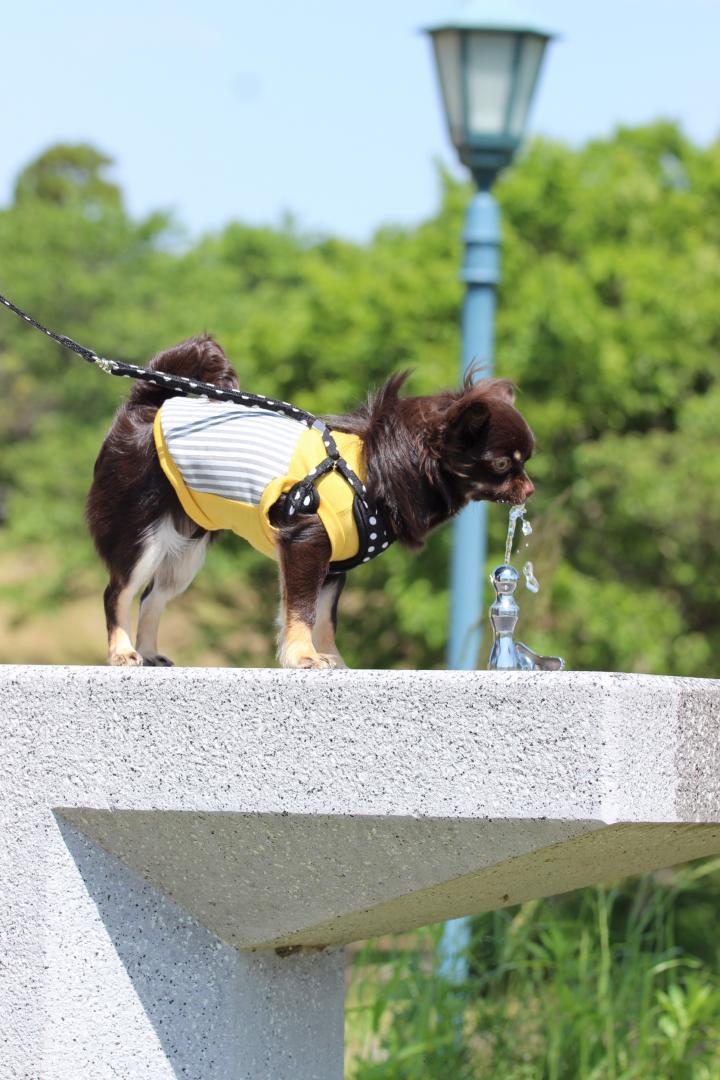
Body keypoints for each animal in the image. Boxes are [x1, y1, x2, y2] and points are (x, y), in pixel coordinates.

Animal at [85, 334, 535, 665]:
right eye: (501, 464)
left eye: (525, 461)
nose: (530, 489)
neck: (375, 470)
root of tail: (147, 405)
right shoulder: (306, 544)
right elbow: (301, 611)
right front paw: (303, 657)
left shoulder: (332, 564)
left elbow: (324, 619)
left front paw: (332, 659)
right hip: (142, 540)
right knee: (117, 593)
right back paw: (123, 651)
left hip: (184, 555)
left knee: (152, 598)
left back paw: (148, 652)